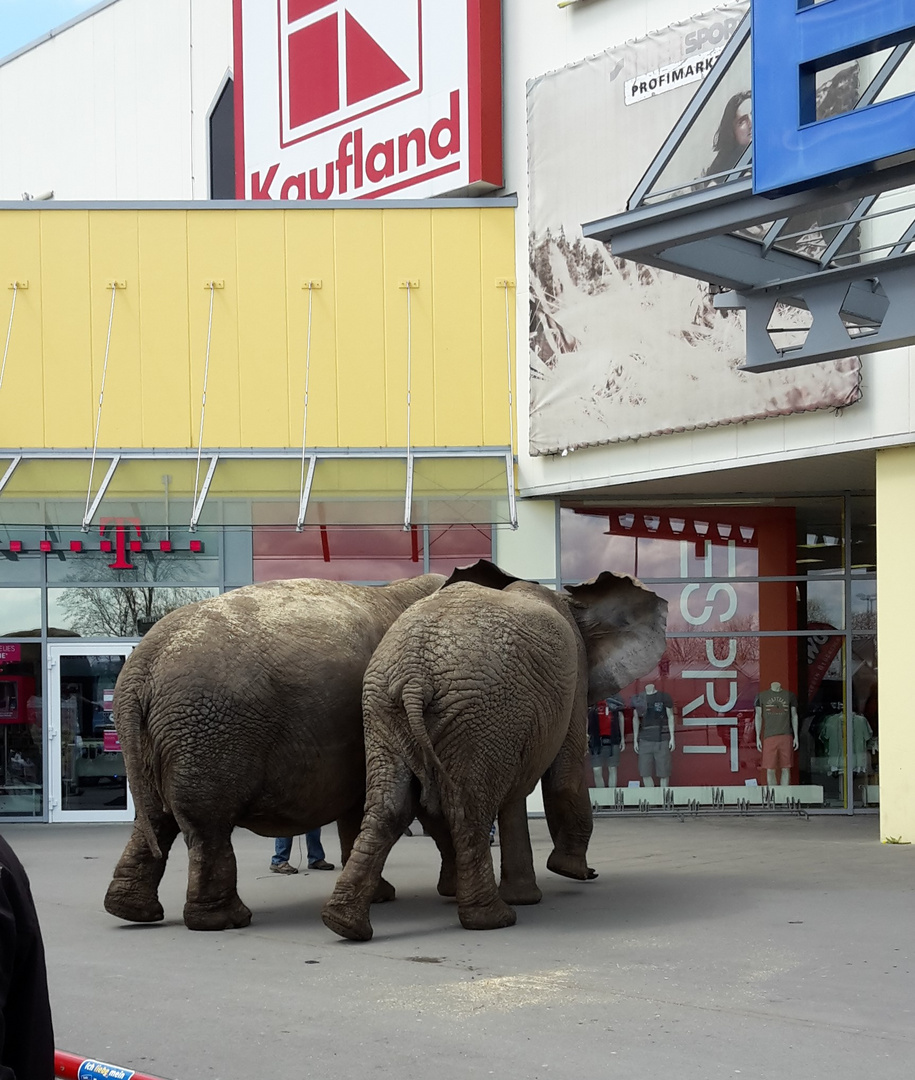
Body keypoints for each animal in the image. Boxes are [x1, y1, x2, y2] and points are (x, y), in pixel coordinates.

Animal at [105, 570, 445, 933]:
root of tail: (141, 667)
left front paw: (381, 897)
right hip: (207, 730)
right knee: (204, 824)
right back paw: (226, 920)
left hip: (163, 737)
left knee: (155, 817)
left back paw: (130, 910)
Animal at [321, 561, 665, 941]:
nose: (591, 874)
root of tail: (414, 676)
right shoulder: (572, 676)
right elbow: (565, 776)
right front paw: (571, 872)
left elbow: (516, 793)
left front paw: (528, 894)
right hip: (479, 711)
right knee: (467, 809)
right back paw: (492, 919)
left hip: (387, 707)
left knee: (389, 805)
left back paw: (344, 924)